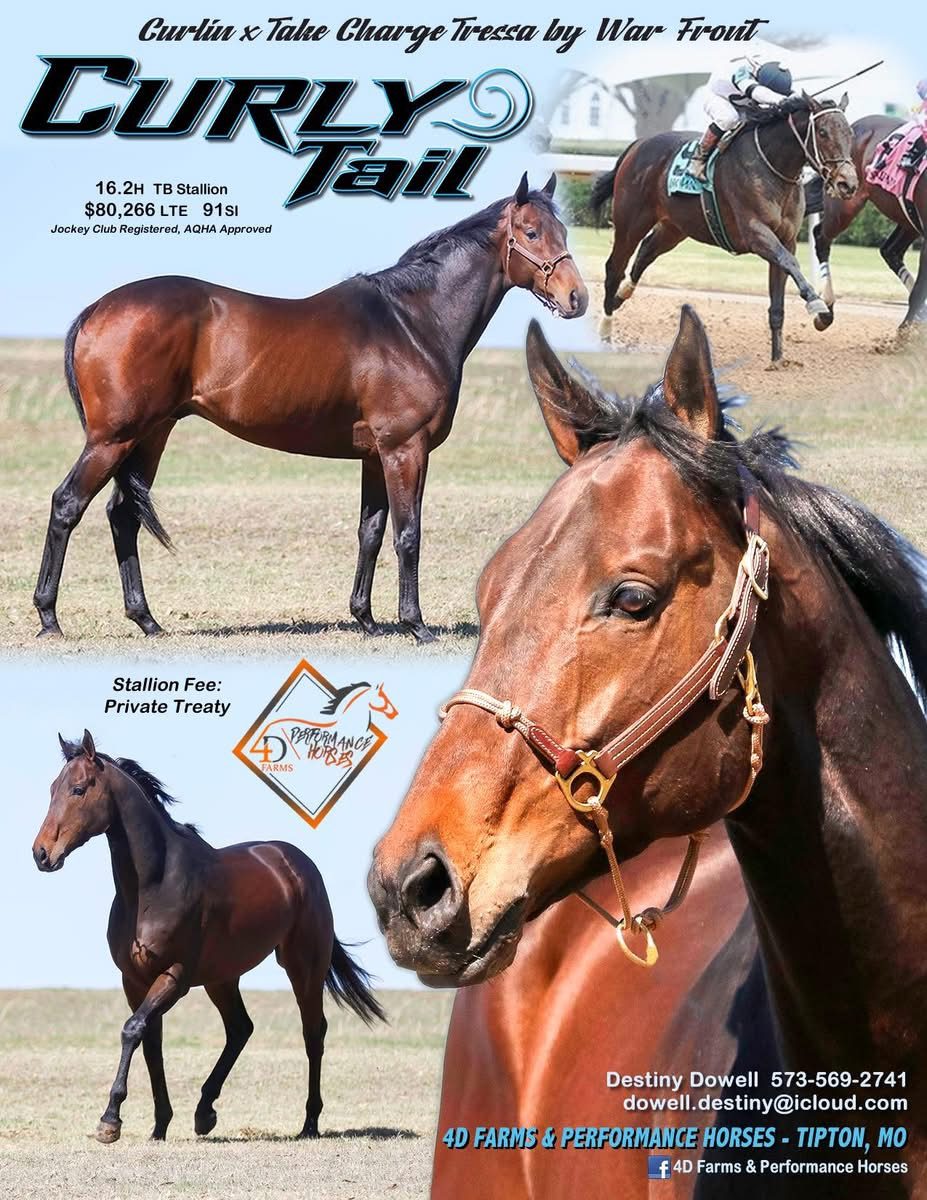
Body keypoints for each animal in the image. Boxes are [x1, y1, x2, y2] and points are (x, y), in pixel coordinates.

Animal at [33, 173, 587, 645]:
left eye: (563, 230)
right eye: (532, 232)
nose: (577, 298)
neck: (412, 322)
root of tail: (98, 309)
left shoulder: (375, 455)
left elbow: (370, 531)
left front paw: (365, 620)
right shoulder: (405, 448)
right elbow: (408, 533)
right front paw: (416, 625)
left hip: (151, 434)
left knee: (122, 515)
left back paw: (146, 620)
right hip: (112, 438)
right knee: (68, 504)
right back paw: (49, 618)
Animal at [33, 729, 385, 1143]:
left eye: (78, 789)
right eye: (52, 788)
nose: (42, 854)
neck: (153, 887)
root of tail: (298, 863)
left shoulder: (175, 977)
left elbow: (132, 1030)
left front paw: (110, 1120)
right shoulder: (134, 980)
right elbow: (150, 1043)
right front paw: (159, 1126)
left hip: (302, 968)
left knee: (313, 1033)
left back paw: (309, 1124)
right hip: (223, 979)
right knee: (240, 1029)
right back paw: (204, 1112)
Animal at [590, 95, 857, 363]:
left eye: (850, 133)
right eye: (822, 132)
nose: (848, 183)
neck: (772, 165)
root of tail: (639, 144)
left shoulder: (786, 238)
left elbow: (778, 301)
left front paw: (778, 359)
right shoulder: (755, 233)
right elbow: (790, 262)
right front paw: (818, 306)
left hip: (675, 227)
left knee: (646, 251)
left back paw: (620, 296)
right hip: (631, 222)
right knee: (614, 268)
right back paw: (605, 332)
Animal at [809, 114, 927, 330]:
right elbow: (920, 290)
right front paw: (904, 334)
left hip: (907, 220)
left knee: (890, 250)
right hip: (843, 205)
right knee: (821, 236)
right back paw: (826, 311)